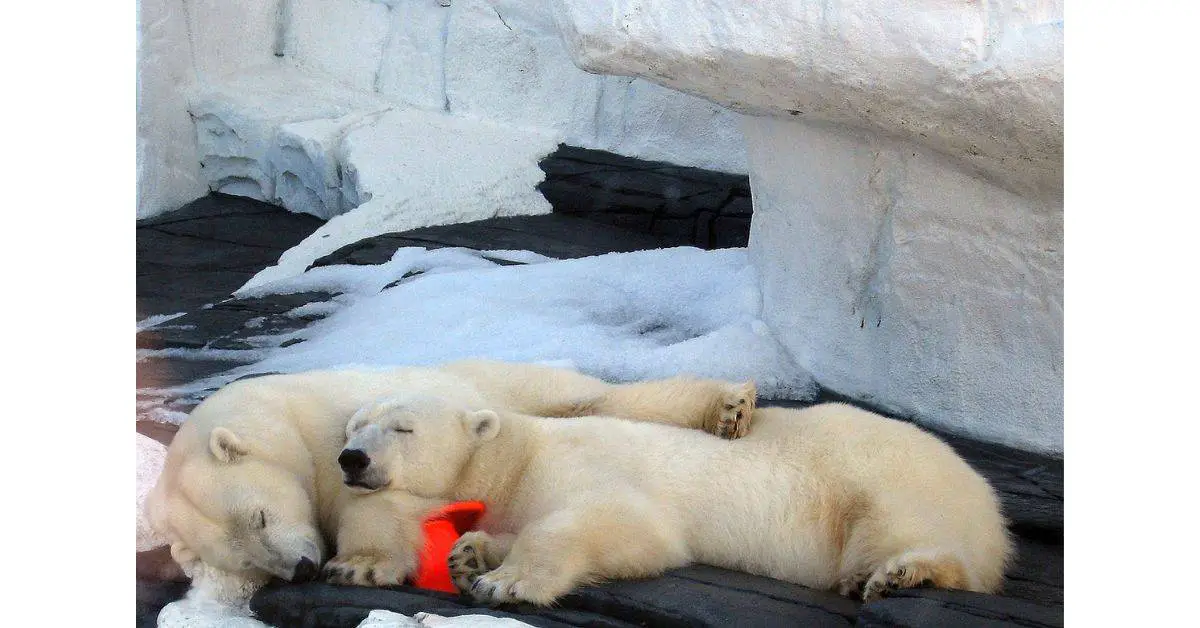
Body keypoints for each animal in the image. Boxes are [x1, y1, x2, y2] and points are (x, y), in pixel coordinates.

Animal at [145, 357, 753, 590]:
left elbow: (378, 499)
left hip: (507, 385)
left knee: (598, 399)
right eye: (247, 560)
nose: (299, 569)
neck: (287, 416)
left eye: (261, 515)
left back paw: (728, 409)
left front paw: (361, 565)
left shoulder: (339, 435)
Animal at [345, 396, 1012, 607]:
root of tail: (990, 505)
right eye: (354, 425)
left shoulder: (579, 466)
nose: (350, 459)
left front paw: (504, 582)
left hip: (882, 477)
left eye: (402, 427)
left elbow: (622, 525)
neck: (520, 454)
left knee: (903, 529)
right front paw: (470, 555)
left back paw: (901, 574)